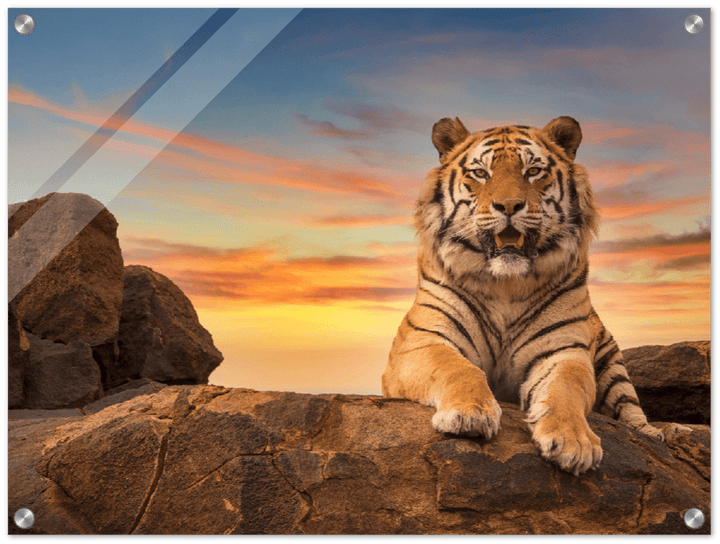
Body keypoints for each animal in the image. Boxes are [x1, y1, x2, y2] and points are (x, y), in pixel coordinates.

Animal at [382, 116, 687, 475]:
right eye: (480, 173)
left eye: (533, 171)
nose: (509, 206)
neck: (505, 285)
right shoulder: (422, 342)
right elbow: (458, 369)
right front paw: (469, 415)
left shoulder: (564, 352)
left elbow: (565, 389)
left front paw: (573, 442)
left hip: (614, 367)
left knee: (633, 415)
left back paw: (665, 432)